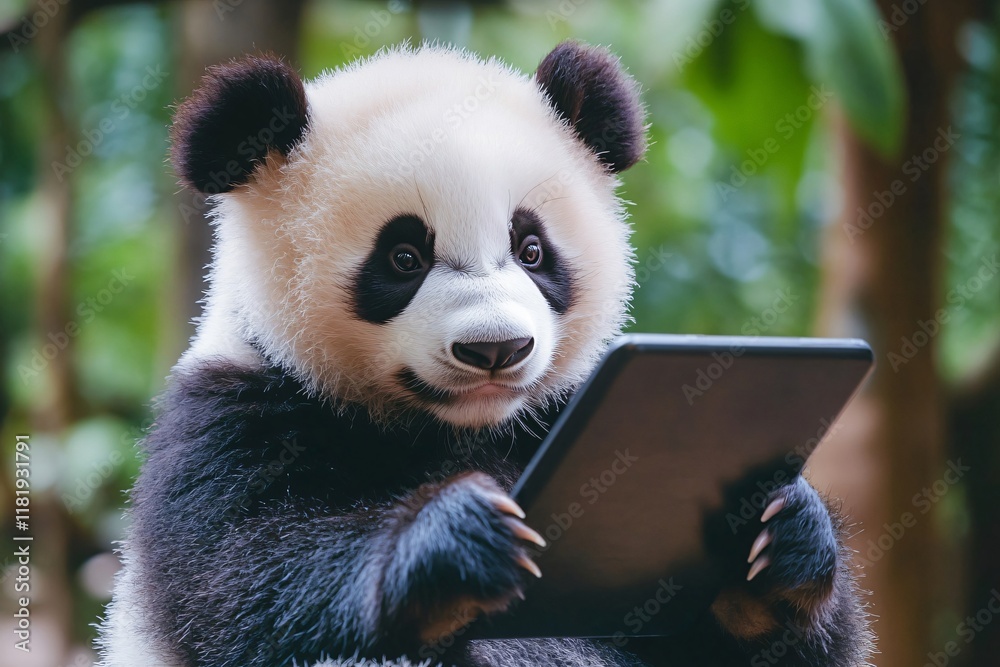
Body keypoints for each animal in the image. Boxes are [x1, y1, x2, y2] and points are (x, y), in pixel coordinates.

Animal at [96, 42, 873, 667]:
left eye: (531, 250)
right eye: (403, 257)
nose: (495, 347)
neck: (457, 429)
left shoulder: (558, 410)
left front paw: (780, 539)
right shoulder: (233, 415)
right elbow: (243, 579)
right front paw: (455, 543)